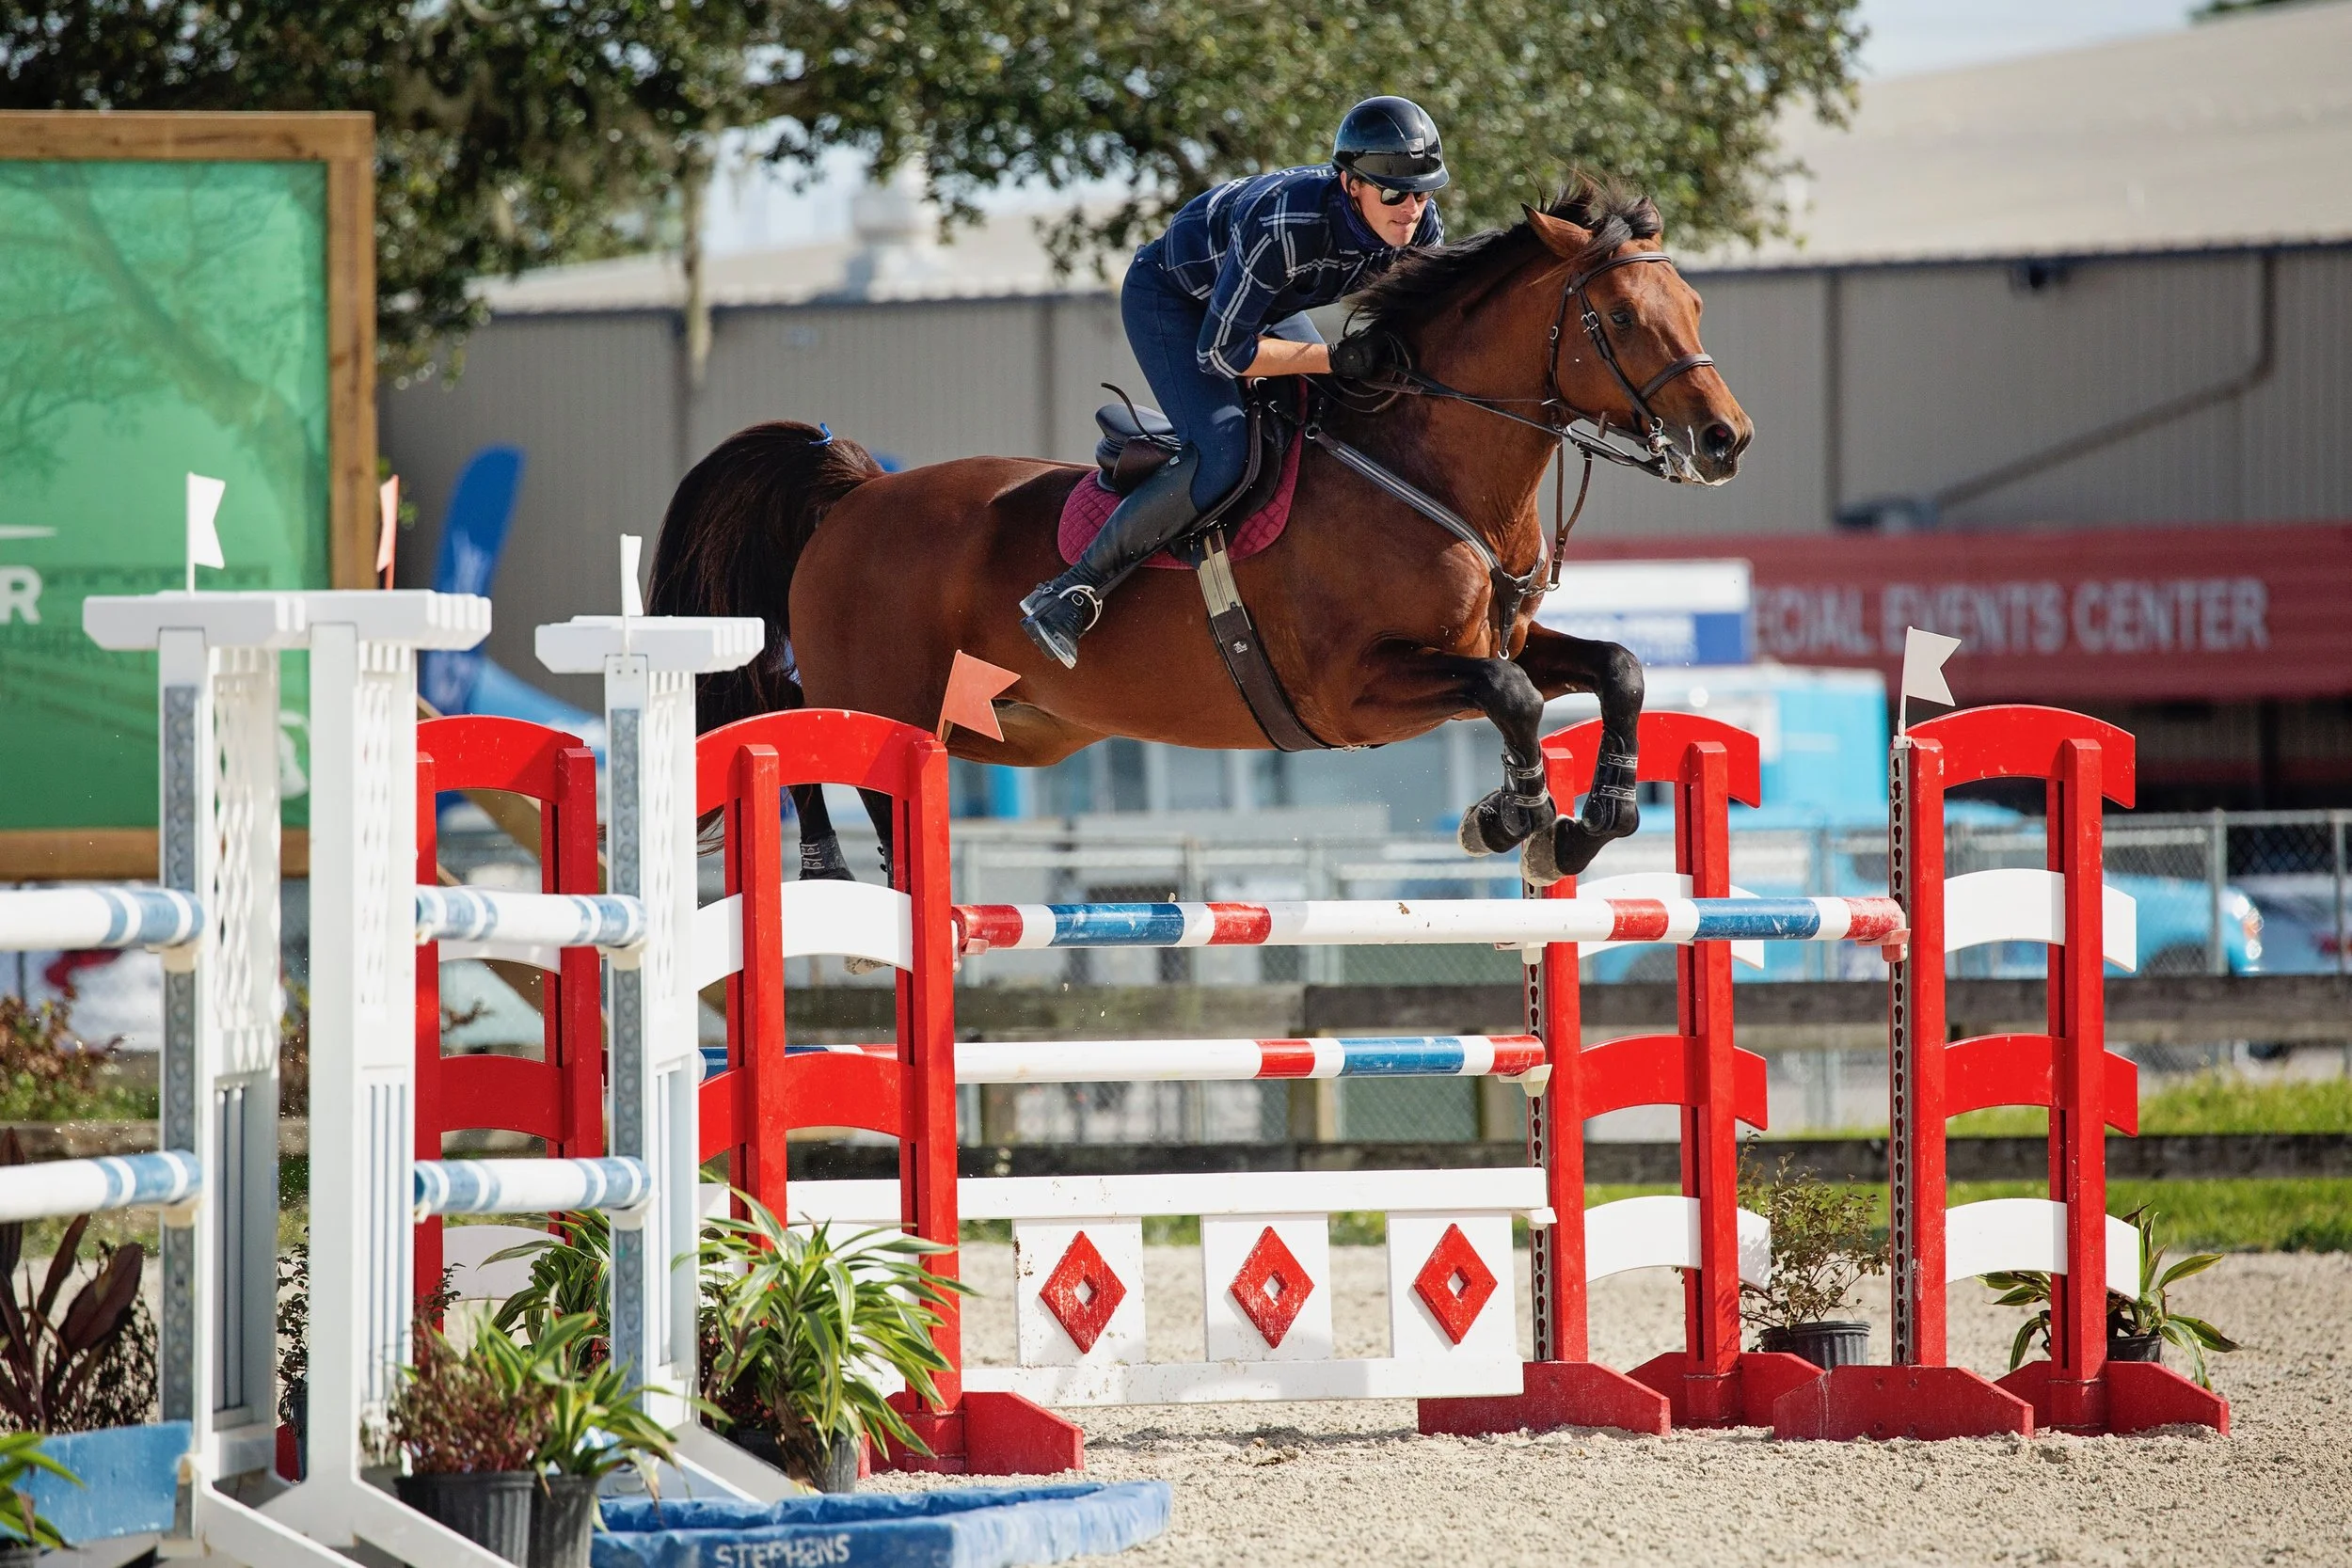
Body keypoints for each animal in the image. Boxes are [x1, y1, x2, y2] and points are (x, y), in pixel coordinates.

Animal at [648, 177, 1751, 885]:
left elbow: (1615, 667)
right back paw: (840, 861)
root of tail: (858, 494)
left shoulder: (1498, 638)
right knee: (797, 724)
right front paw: (1513, 813)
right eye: (1617, 316)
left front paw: (1589, 822)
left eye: (1695, 302)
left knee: (794, 717)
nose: (1724, 438)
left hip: (996, 724)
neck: (1423, 468)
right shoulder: (1356, 688)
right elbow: (1512, 696)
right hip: (888, 703)